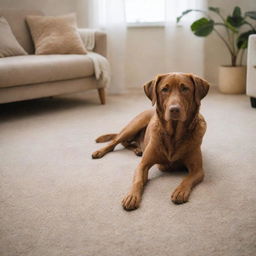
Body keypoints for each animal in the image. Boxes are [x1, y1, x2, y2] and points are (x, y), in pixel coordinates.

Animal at [91, 72, 209, 210]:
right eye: (164, 89)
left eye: (185, 88)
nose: (174, 109)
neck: (173, 134)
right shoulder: (143, 164)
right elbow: (138, 180)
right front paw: (131, 196)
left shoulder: (198, 170)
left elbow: (187, 179)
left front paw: (180, 191)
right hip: (133, 126)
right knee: (115, 141)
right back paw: (99, 151)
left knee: (127, 143)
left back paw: (137, 149)